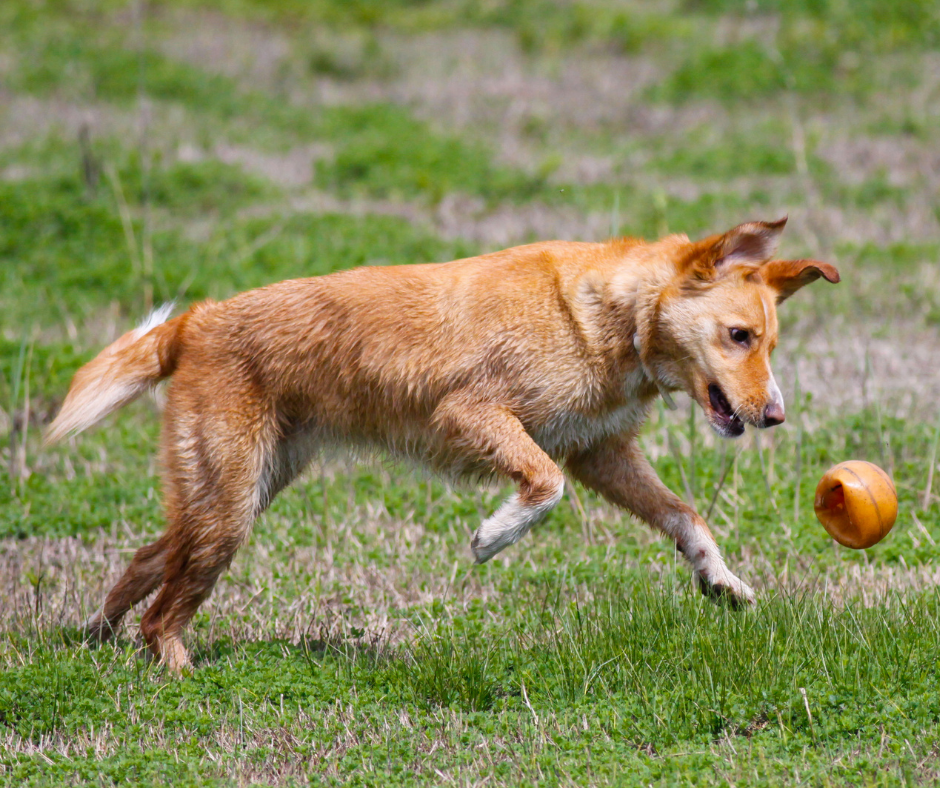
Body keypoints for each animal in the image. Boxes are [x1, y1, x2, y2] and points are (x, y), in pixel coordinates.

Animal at [46, 217, 836, 672]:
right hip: (230, 506)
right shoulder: (472, 413)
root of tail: (196, 322)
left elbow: (685, 515)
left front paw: (720, 579)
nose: (775, 416)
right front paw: (494, 536)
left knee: (147, 562)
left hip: (234, 495)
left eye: (768, 342)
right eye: (739, 336)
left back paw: (96, 638)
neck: (607, 317)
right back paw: (176, 671)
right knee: (163, 611)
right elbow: (544, 487)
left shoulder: (601, 453)